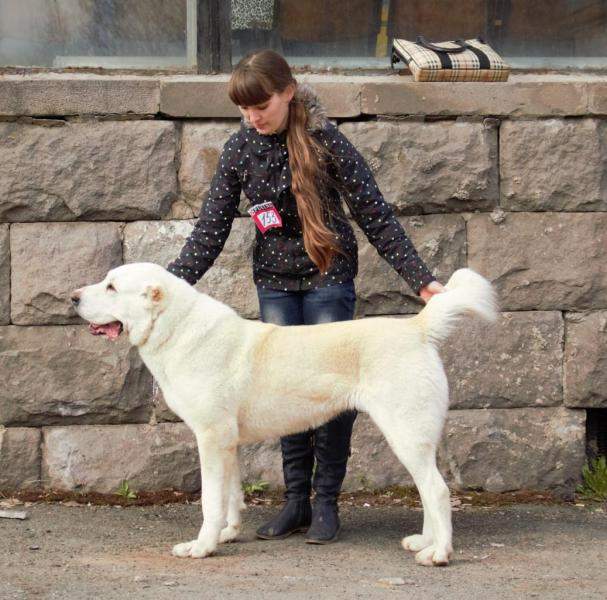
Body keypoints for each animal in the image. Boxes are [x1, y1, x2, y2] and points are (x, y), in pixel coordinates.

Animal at [71, 263, 497, 566]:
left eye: (111, 287)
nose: (72, 297)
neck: (176, 329)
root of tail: (416, 328)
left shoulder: (211, 437)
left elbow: (210, 500)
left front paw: (202, 547)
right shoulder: (227, 442)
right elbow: (231, 495)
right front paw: (227, 533)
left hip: (405, 433)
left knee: (437, 491)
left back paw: (439, 554)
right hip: (412, 438)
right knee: (428, 490)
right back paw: (424, 541)